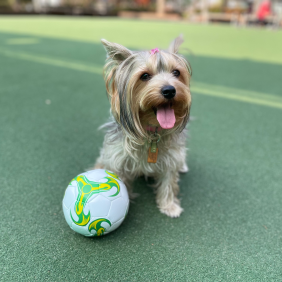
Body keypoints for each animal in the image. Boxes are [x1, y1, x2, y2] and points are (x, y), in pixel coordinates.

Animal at [94, 34, 192, 217]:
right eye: (145, 76)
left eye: (176, 72)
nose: (170, 90)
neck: (152, 132)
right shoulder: (117, 157)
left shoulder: (170, 159)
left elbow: (168, 181)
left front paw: (169, 206)